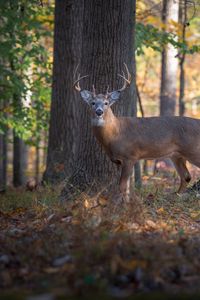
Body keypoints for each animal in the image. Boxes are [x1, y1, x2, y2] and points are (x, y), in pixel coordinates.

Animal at [74, 63, 200, 202]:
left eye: (106, 103)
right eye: (93, 103)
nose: (99, 111)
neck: (115, 134)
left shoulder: (130, 156)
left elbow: (122, 186)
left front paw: (123, 205)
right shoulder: (118, 161)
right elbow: (126, 187)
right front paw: (126, 202)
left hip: (193, 149)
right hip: (176, 155)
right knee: (186, 176)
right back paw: (173, 197)